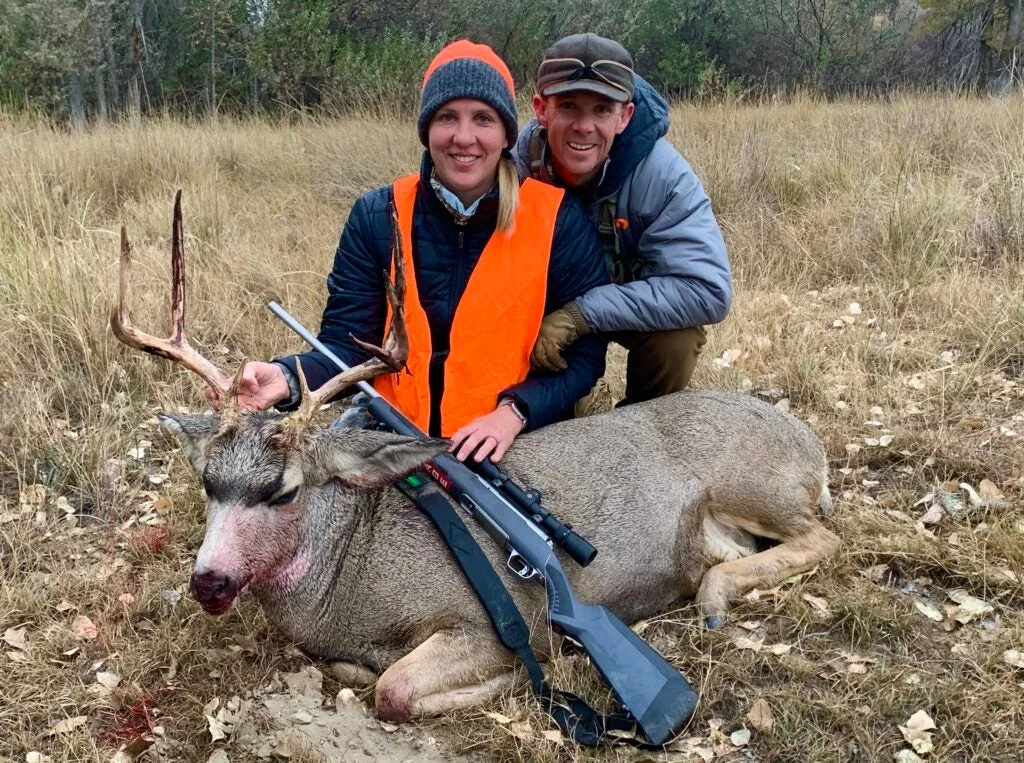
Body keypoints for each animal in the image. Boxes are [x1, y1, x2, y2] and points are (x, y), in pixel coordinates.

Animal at [110, 193, 839, 725]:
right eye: (208, 482)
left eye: (284, 490)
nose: (209, 581)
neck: (349, 573)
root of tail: (811, 442)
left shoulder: (484, 620)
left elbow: (395, 688)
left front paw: (517, 676)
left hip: (753, 480)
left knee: (823, 536)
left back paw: (711, 597)